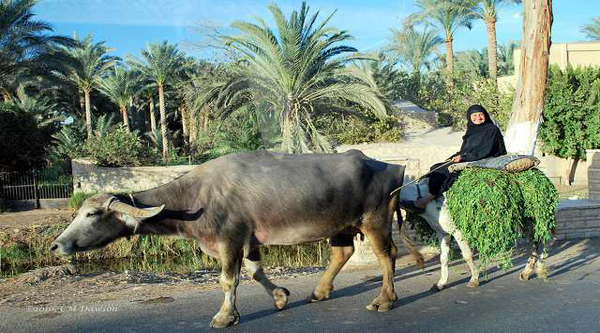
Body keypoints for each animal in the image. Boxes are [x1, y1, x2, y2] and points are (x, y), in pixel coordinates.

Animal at [51, 150, 420, 326]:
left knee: (387, 256)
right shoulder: (249, 240)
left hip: (375, 220)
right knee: (341, 254)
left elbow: (229, 280)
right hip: (341, 224)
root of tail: (392, 167)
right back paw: (318, 291)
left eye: (92, 214)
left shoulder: (229, 240)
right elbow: (256, 271)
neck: (194, 199)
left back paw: (385, 299)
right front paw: (281, 297)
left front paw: (225, 316)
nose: (56, 245)